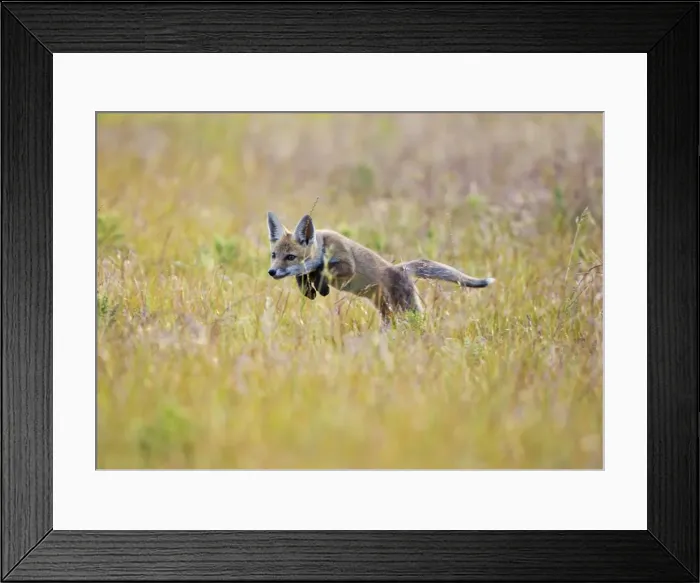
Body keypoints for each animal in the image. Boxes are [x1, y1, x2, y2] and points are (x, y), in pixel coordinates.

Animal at [266, 211, 495, 329]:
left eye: (290, 257)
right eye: (274, 255)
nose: (271, 272)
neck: (323, 245)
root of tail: (400, 268)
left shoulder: (347, 264)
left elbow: (326, 269)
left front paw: (322, 284)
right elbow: (306, 283)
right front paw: (314, 289)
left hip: (407, 310)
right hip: (388, 314)